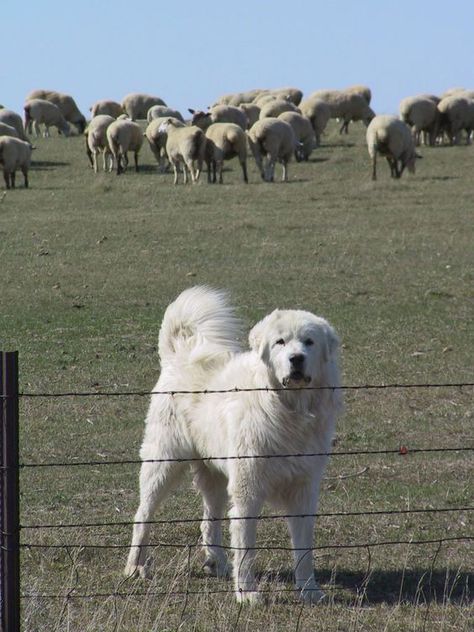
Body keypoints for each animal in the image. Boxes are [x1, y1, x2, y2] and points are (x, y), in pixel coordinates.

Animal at [125, 286, 340, 604]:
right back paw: (135, 566)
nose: (297, 359)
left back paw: (216, 563)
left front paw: (309, 590)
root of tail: (178, 356)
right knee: (143, 515)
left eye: (309, 342)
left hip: (213, 474)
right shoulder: (247, 491)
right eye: (280, 342)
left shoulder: (303, 490)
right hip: (163, 465)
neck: (288, 410)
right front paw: (247, 592)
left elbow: (304, 550)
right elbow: (246, 548)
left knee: (209, 519)